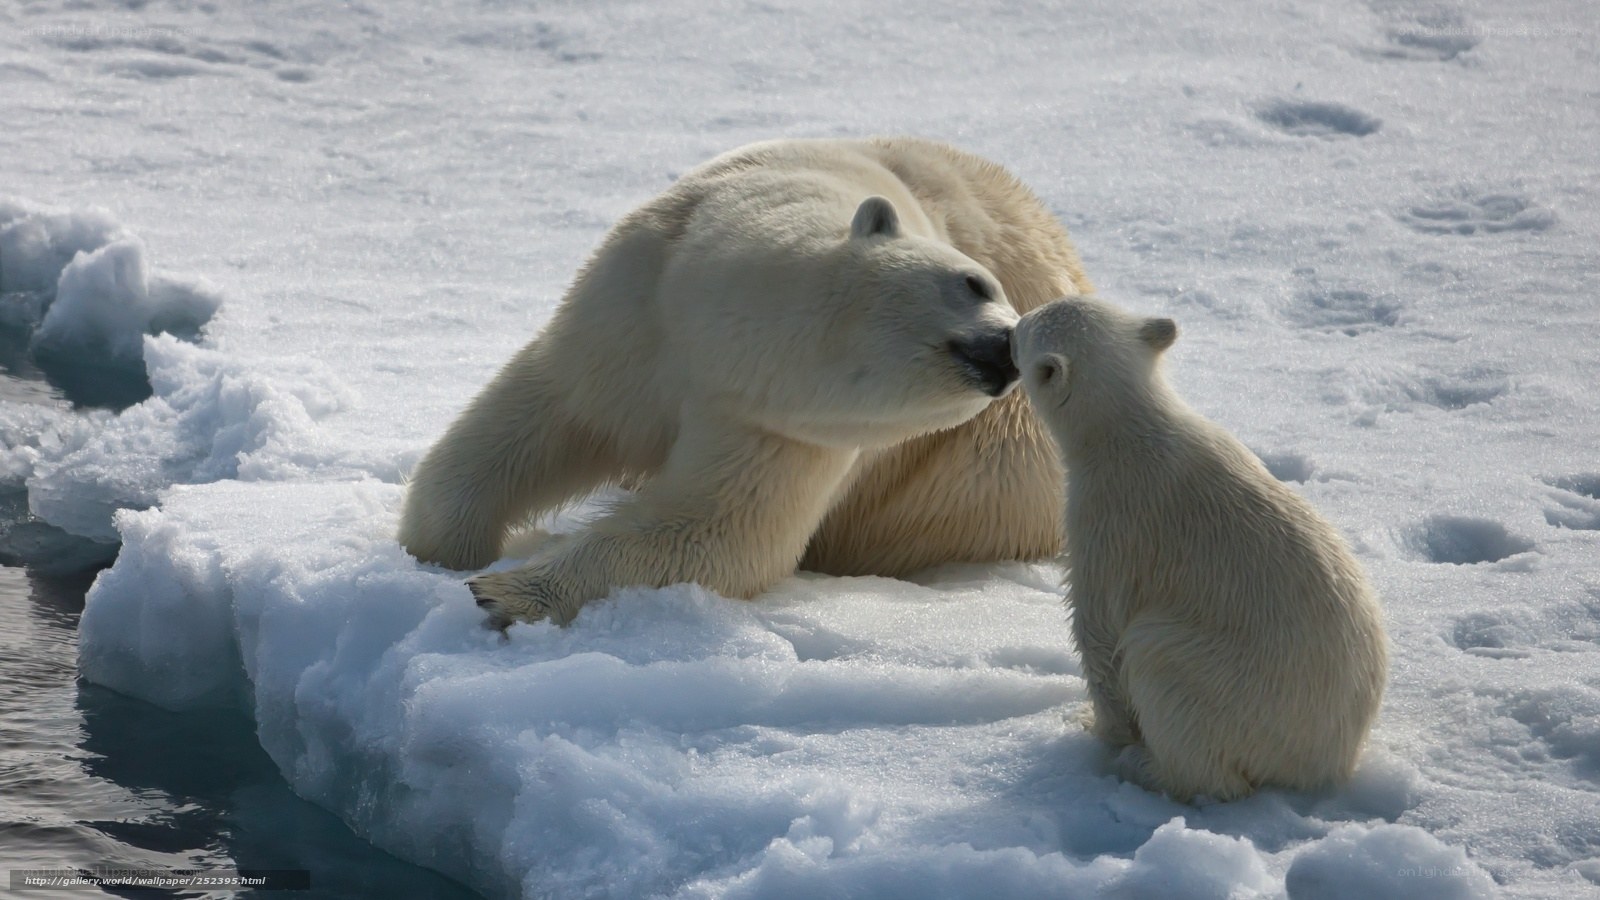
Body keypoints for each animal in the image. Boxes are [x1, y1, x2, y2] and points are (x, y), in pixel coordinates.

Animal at [399, 137, 1091, 626]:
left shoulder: (781, 428)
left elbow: (716, 531)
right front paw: (439, 554)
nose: (1009, 350)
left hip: (993, 476)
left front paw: (504, 591)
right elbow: (546, 417)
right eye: (974, 282)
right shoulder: (637, 310)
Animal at [1011, 296, 1388, 801]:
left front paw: (1101, 727)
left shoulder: (1107, 519)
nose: (1008, 328)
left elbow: (1100, 628)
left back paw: (1146, 766)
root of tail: (1325, 765)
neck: (1128, 430)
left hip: (1229, 687)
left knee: (1160, 665)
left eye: (1027, 326)